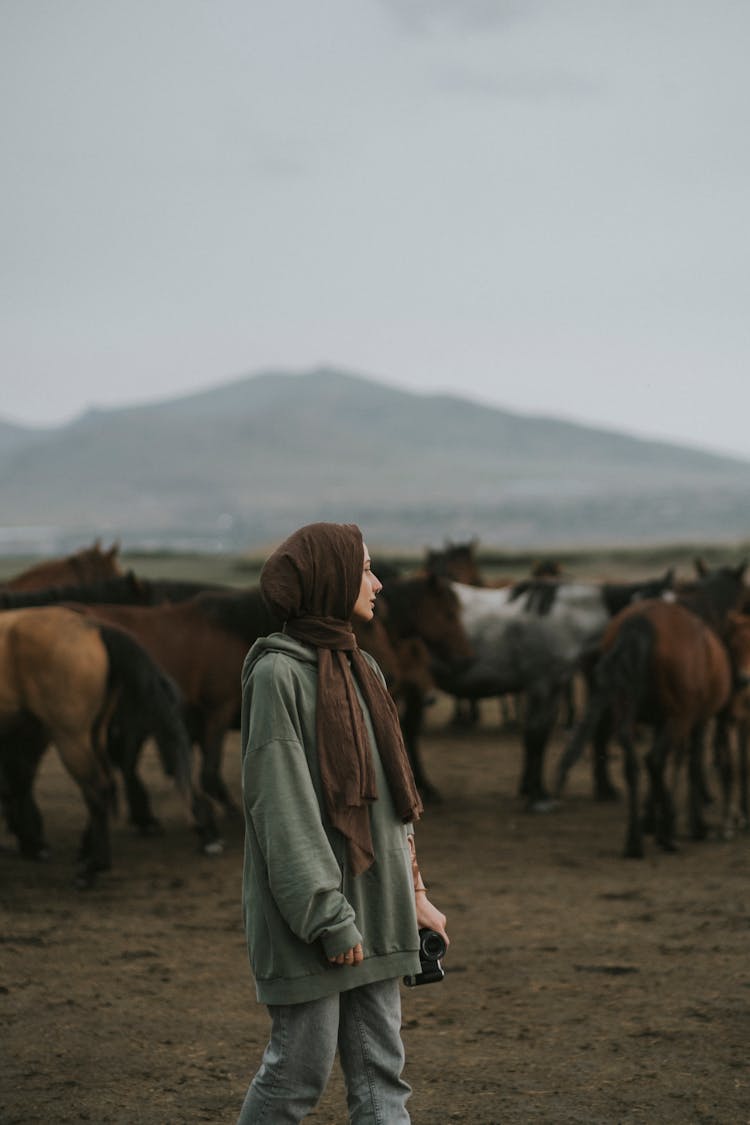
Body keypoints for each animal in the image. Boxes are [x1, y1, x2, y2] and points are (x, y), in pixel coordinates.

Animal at [555, 558, 746, 855]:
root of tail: (639, 624)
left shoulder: (660, 720)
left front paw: (649, 818)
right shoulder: (697, 718)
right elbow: (690, 763)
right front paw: (694, 823)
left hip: (625, 709)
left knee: (632, 763)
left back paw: (634, 839)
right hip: (679, 716)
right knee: (653, 760)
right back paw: (666, 831)